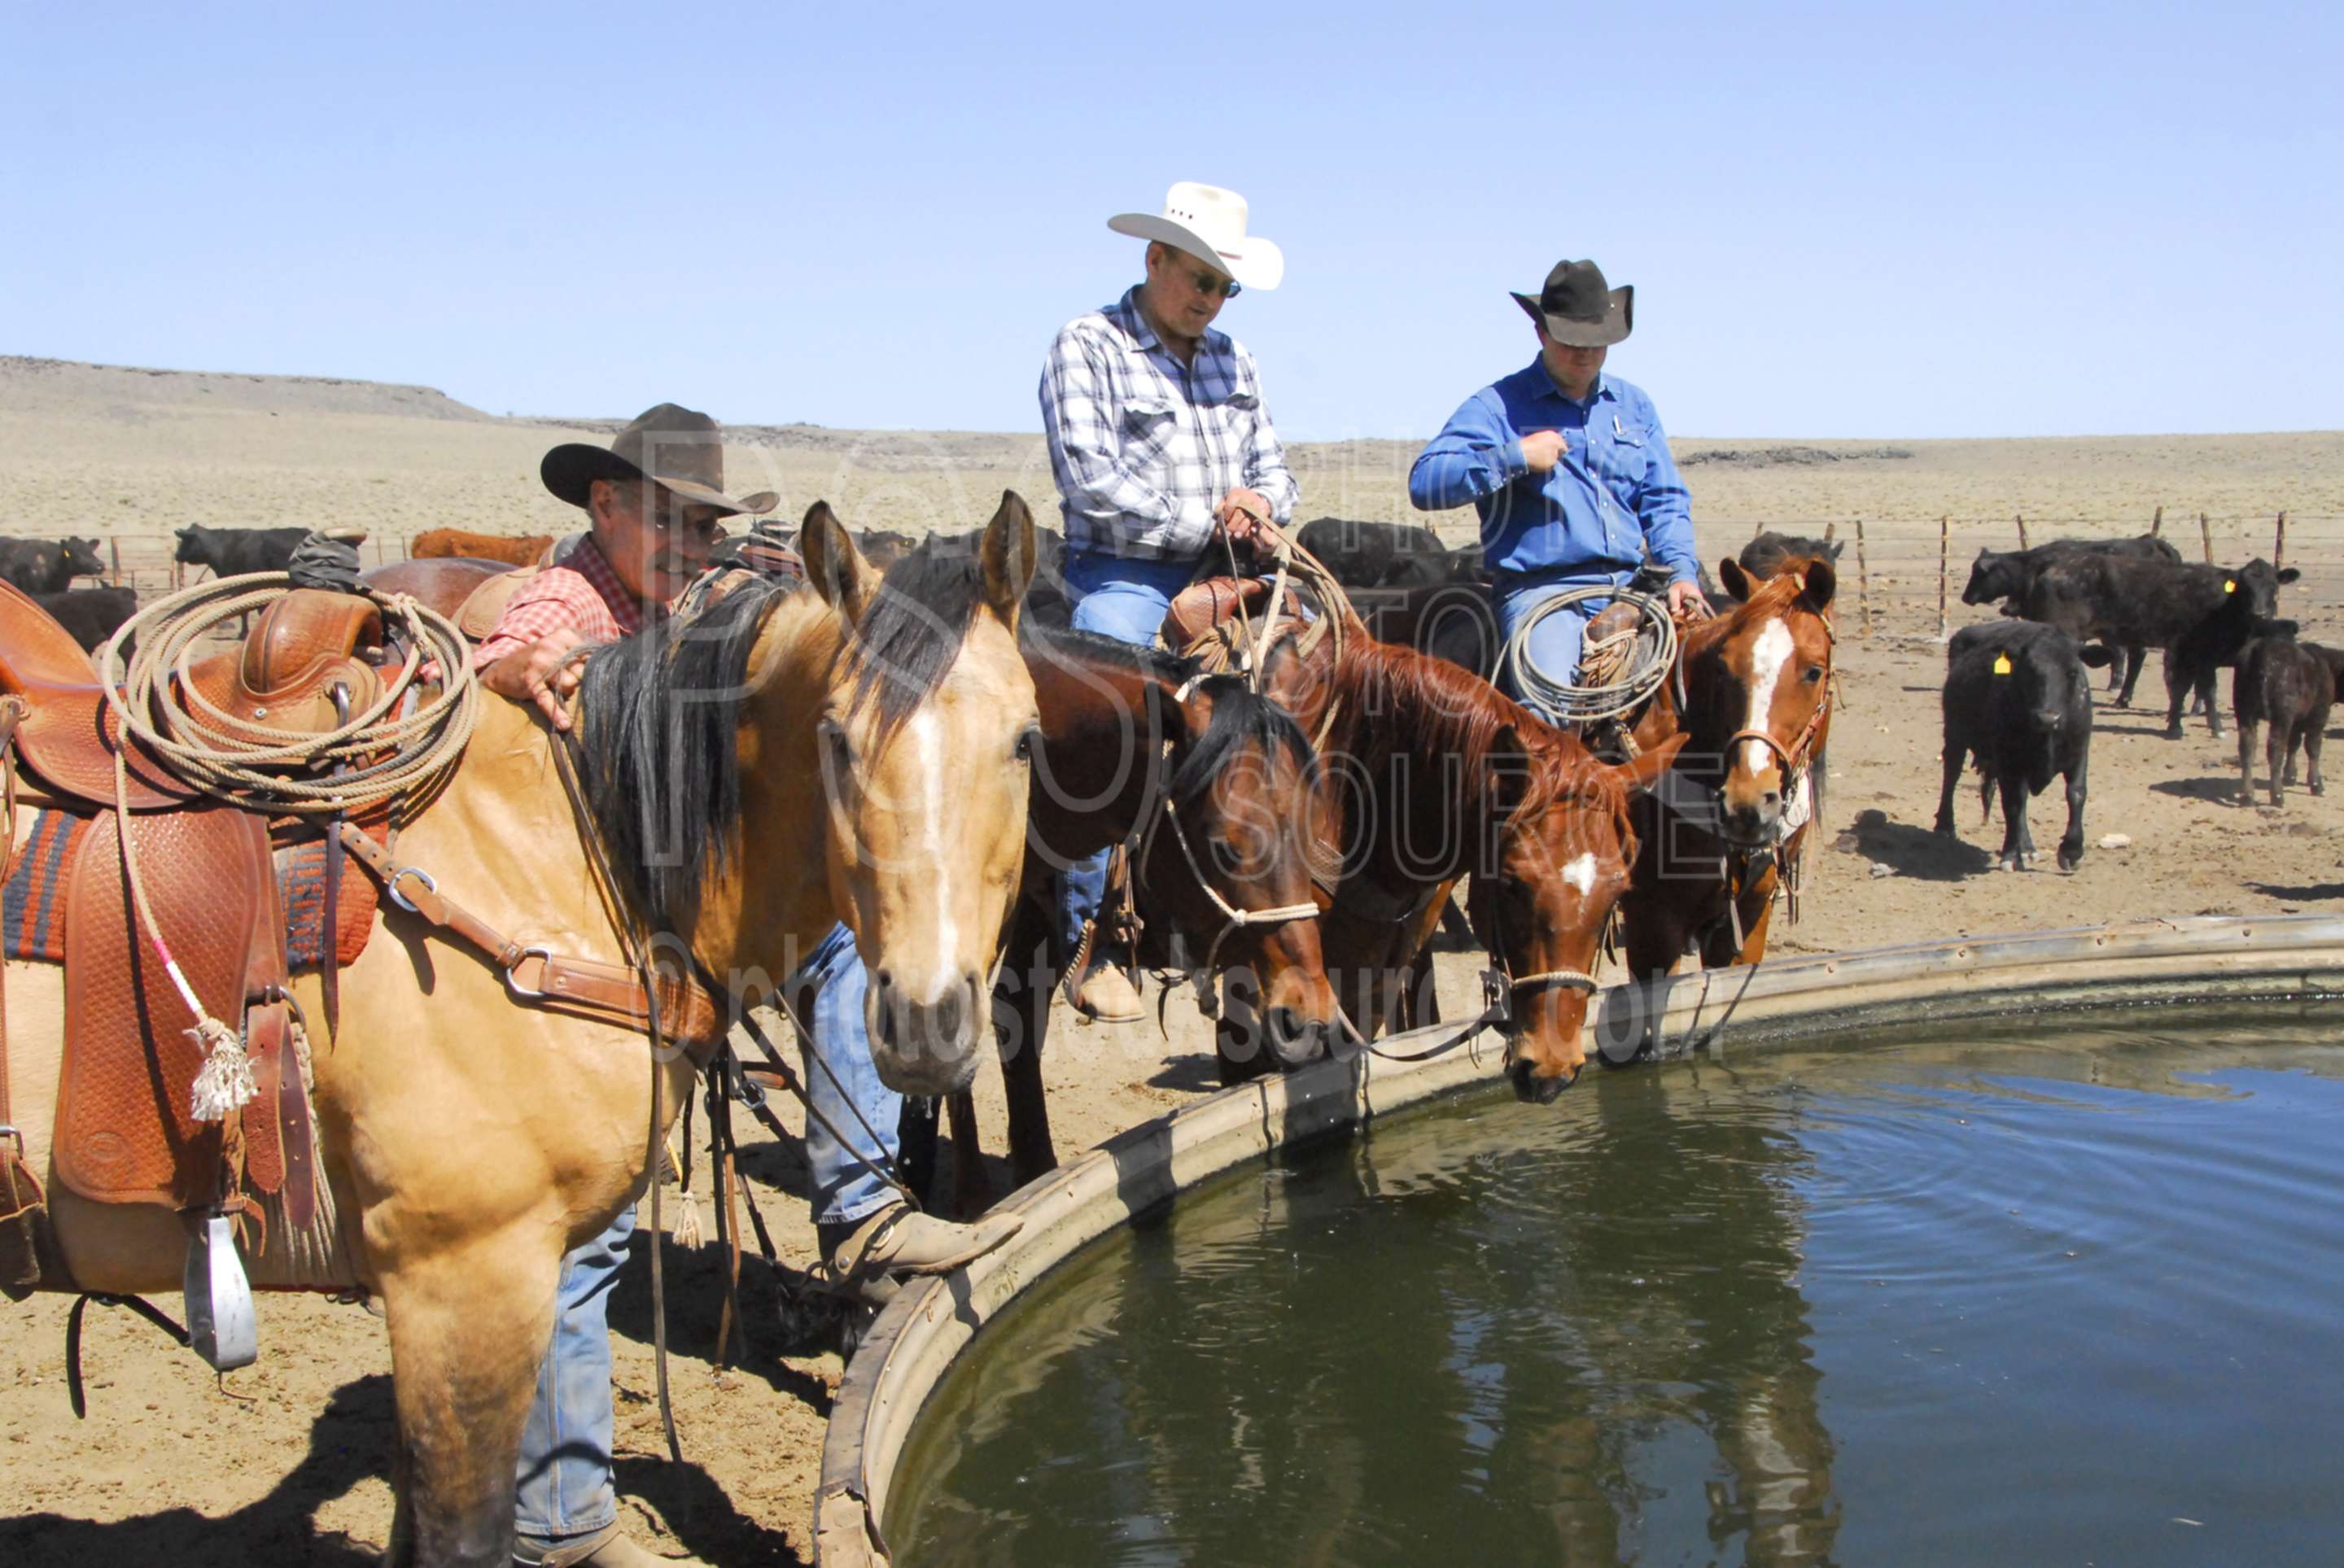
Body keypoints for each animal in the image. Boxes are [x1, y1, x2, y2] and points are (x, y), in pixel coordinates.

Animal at [2, 496, 1040, 1564]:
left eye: (1024, 741)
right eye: (835, 739)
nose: (926, 1018)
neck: (557, 859)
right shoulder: (464, 1275)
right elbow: (463, 1533)